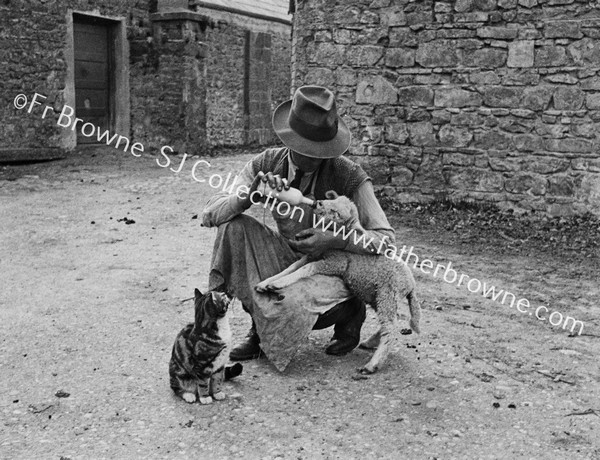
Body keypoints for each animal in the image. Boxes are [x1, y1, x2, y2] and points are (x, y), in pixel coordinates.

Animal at [255, 190, 420, 374]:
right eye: (333, 199)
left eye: (336, 213)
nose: (318, 203)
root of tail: (411, 284)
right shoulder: (314, 254)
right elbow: (292, 267)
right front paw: (267, 282)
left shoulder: (335, 263)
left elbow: (306, 268)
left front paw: (277, 284)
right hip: (379, 297)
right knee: (391, 323)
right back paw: (370, 343)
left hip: (387, 295)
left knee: (390, 329)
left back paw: (372, 364)